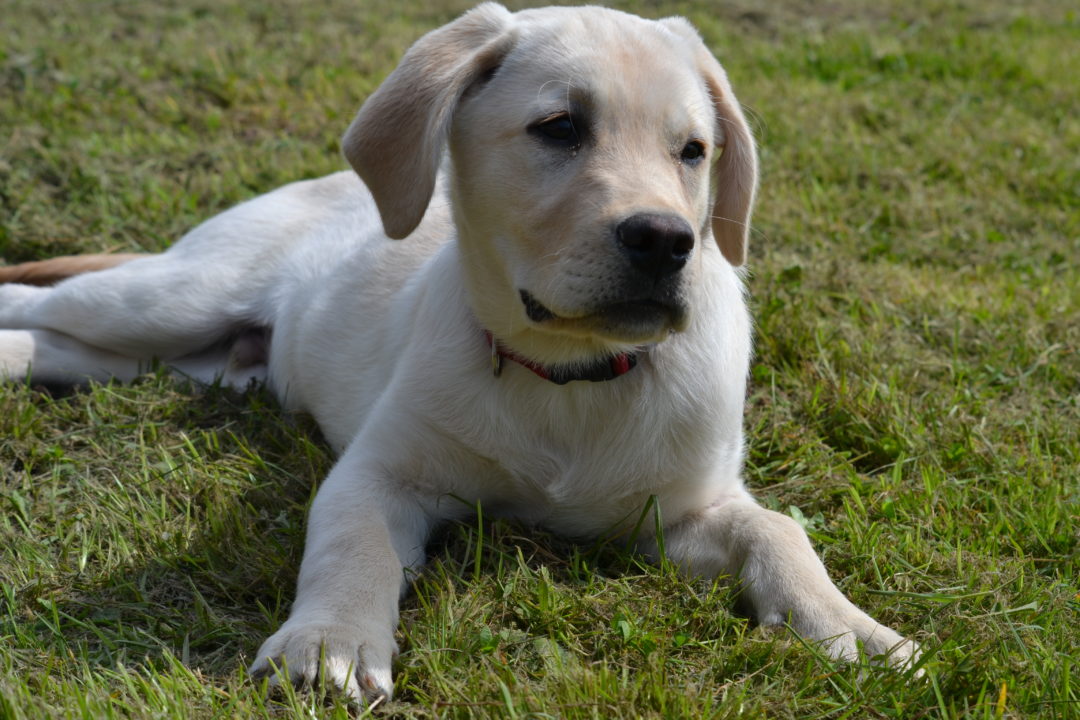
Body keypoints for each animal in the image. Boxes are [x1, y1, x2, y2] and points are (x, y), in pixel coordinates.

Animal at [0, 4, 920, 703]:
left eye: (692, 151)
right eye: (559, 128)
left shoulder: (683, 511)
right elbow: (353, 547)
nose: (667, 242)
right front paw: (330, 644)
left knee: (64, 346)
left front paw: (852, 628)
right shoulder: (380, 473)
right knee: (49, 304)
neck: (569, 373)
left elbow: (778, 530)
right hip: (173, 296)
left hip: (181, 359)